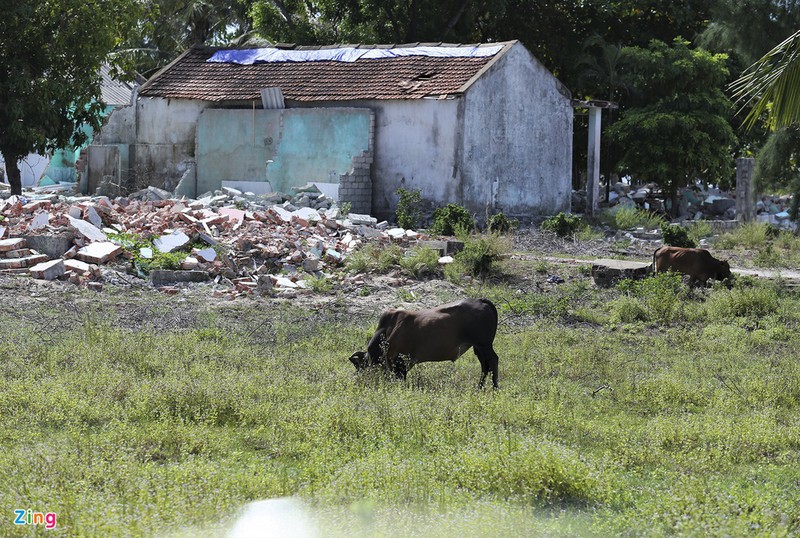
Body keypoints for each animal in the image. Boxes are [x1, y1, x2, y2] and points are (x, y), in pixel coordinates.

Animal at [346, 298, 496, 386]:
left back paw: (494, 388)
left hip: (484, 345)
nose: (358, 381)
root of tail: (480, 301)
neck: (387, 331)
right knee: (485, 366)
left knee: (493, 361)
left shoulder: (401, 361)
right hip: (478, 348)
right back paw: (480, 388)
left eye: (360, 367)